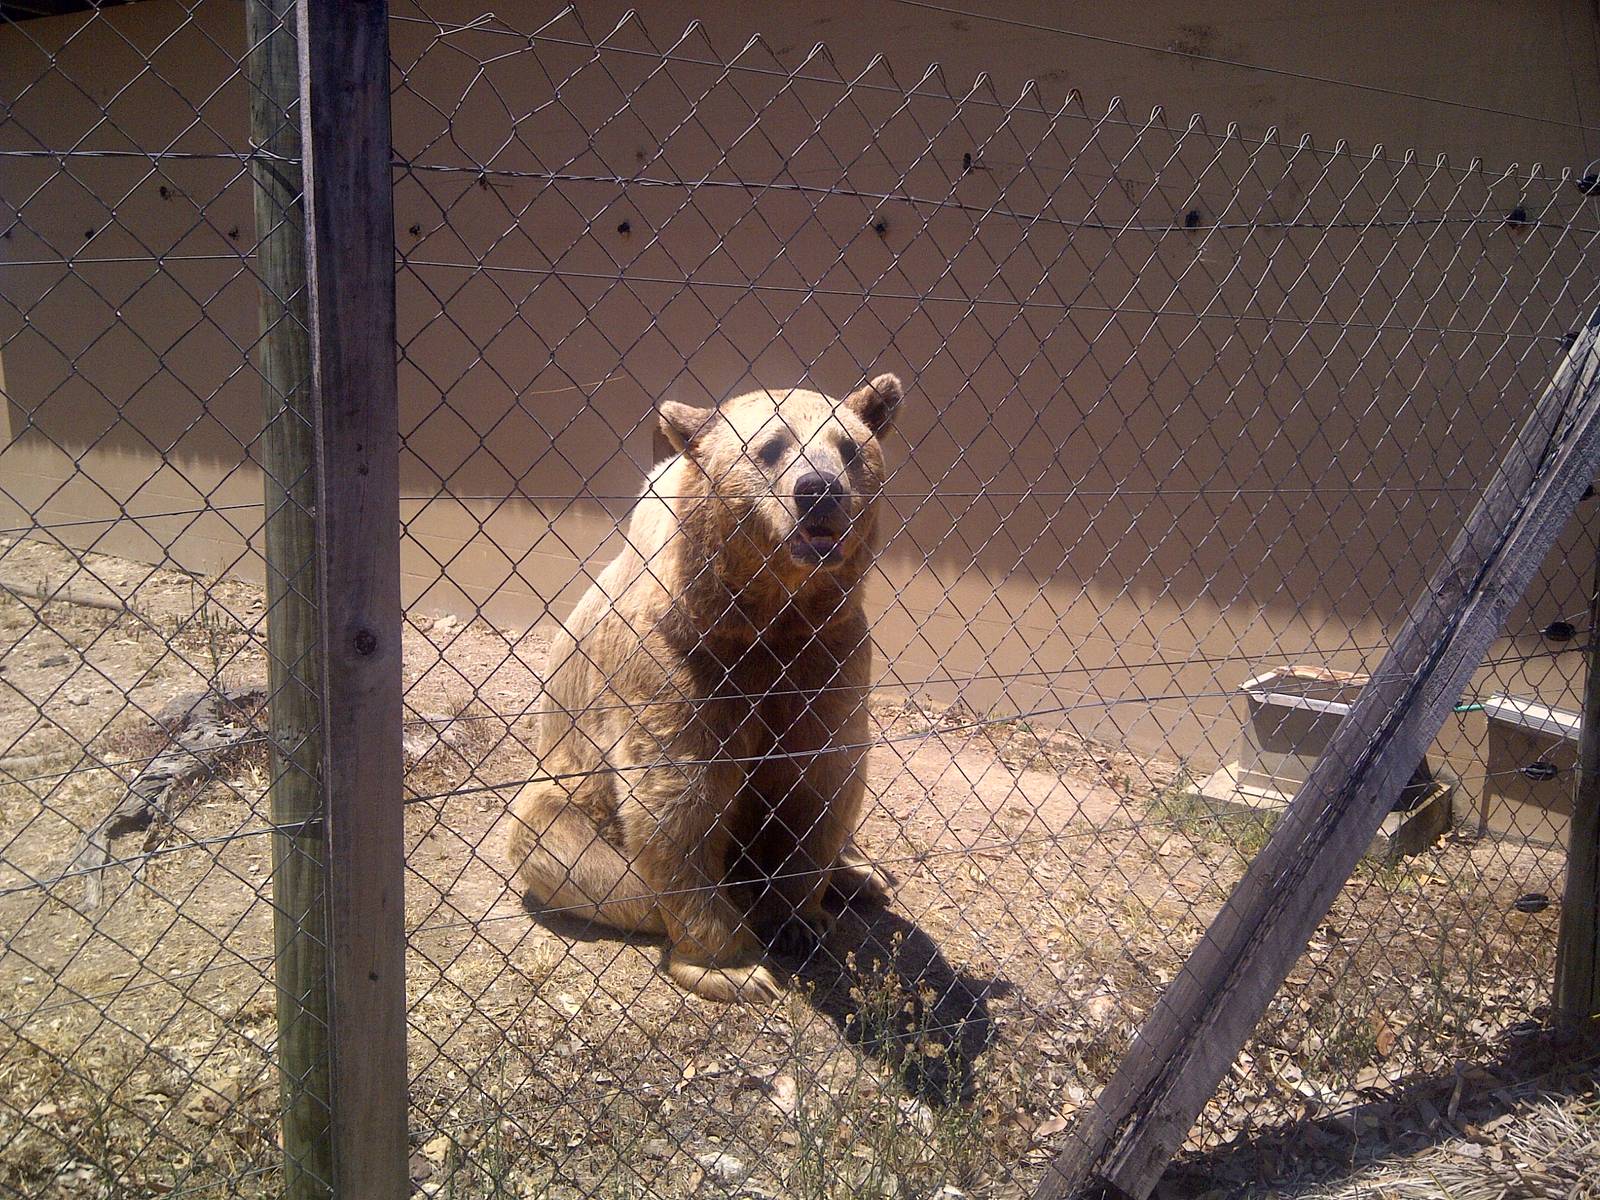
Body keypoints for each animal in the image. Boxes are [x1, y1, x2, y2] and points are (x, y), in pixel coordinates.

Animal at [506, 372, 905, 1002]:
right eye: (770, 446)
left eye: (849, 448)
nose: (819, 491)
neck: (766, 611)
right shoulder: (679, 656)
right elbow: (679, 793)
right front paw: (735, 966)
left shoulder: (827, 651)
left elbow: (820, 779)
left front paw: (800, 919)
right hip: (564, 800)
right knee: (576, 854)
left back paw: (861, 875)